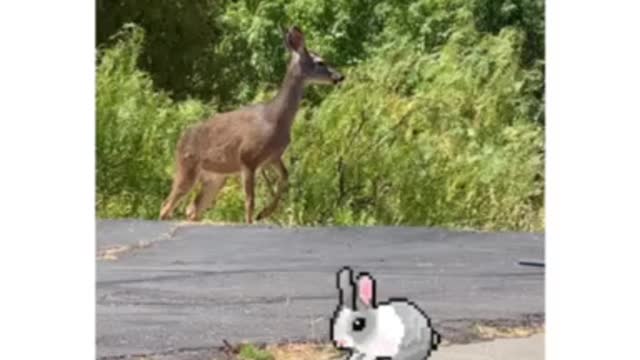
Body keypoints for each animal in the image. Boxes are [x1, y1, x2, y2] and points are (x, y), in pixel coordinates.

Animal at [159, 28, 344, 224]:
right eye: (320, 62)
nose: (340, 76)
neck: (275, 119)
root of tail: (180, 140)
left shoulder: (272, 157)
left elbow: (285, 177)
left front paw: (265, 213)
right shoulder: (248, 157)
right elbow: (250, 201)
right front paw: (254, 218)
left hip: (215, 177)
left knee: (192, 209)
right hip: (187, 166)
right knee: (166, 205)